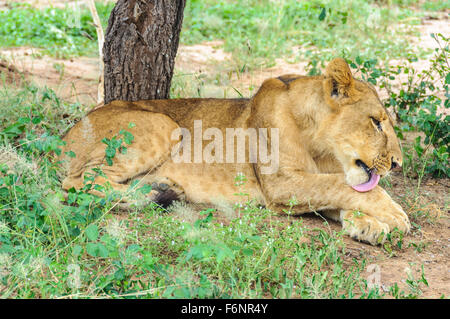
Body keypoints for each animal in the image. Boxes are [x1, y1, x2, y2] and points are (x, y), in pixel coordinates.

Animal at [59, 58, 412, 246]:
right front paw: (395, 215)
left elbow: (344, 193)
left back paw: (160, 188)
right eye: (377, 122)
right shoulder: (281, 185)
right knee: (77, 182)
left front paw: (368, 224)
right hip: (163, 124)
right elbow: (342, 187)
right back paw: (153, 194)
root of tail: (65, 136)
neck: (322, 147)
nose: (397, 163)